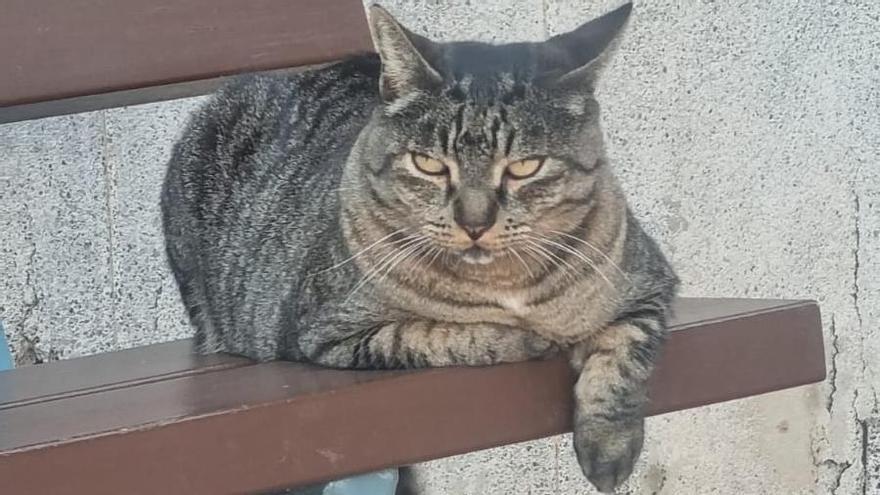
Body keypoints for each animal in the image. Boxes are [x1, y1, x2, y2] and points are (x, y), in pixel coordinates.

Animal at [162, 2, 676, 492]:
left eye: (524, 167)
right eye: (429, 164)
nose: (474, 223)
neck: (506, 284)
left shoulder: (653, 282)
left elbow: (625, 349)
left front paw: (609, 447)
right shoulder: (325, 332)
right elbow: (434, 334)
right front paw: (522, 338)